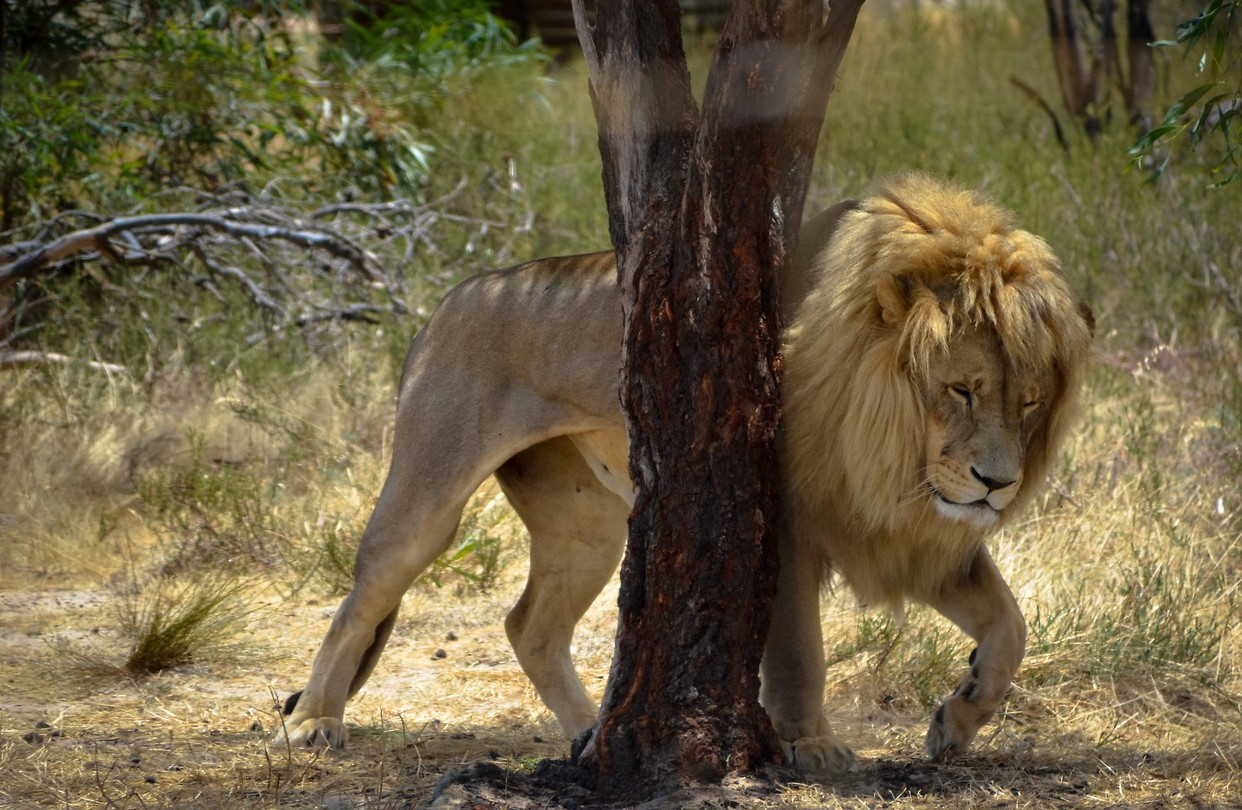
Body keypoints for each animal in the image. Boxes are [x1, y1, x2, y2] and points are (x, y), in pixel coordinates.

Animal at [275, 174, 1093, 775]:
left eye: (1028, 402)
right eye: (961, 391)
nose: (997, 484)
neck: (889, 456)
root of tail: (456, 295)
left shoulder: (909, 531)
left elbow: (1011, 627)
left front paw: (957, 719)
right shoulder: (783, 517)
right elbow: (799, 649)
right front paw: (810, 743)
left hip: (590, 529)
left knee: (529, 626)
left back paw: (591, 736)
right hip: (429, 493)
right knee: (361, 600)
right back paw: (314, 722)